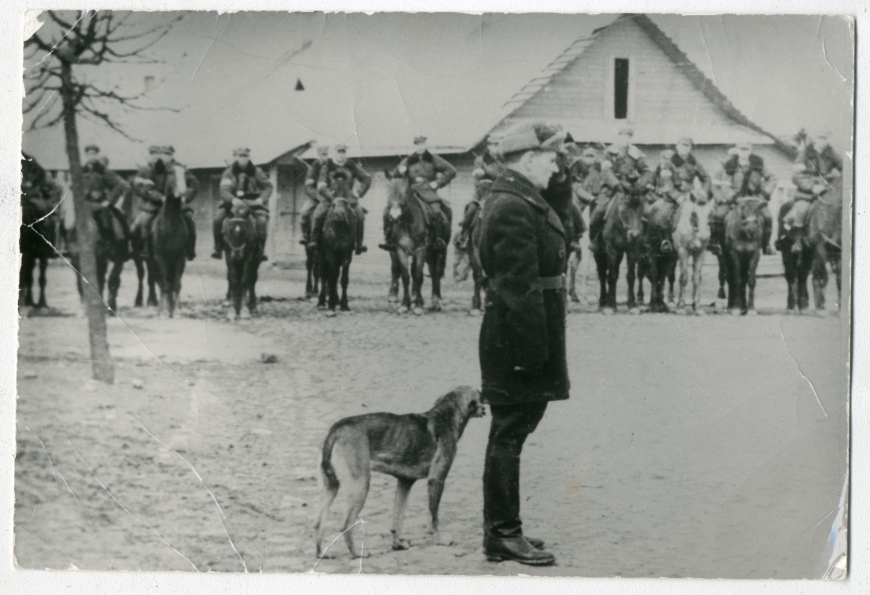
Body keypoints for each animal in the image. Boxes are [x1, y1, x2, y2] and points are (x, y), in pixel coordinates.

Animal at [316, 386, 490, 560]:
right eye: (480, 396)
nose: (486, 406)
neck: (445, 415)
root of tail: (337, 429)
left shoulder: (404, 483)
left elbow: (398, 518)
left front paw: (397, 544)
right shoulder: (436, 480)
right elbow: (433, 517)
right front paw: (439, 539)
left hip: (330, 487)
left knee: (318, 524)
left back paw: (322, 553)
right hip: (360, 487)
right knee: (345, 525)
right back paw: (357, 553)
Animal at [384, 171, 446, 316]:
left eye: (406, 192)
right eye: (388, 191)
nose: (394, 216)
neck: (407, 223)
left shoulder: (420, 250)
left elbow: (418, 276)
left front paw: (418, 306)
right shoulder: (400, 250)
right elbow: (406, 276)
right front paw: (405, 305)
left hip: (440, 252)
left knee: (437, 273)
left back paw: (436, 301)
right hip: (429, 255)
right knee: (432, 272)